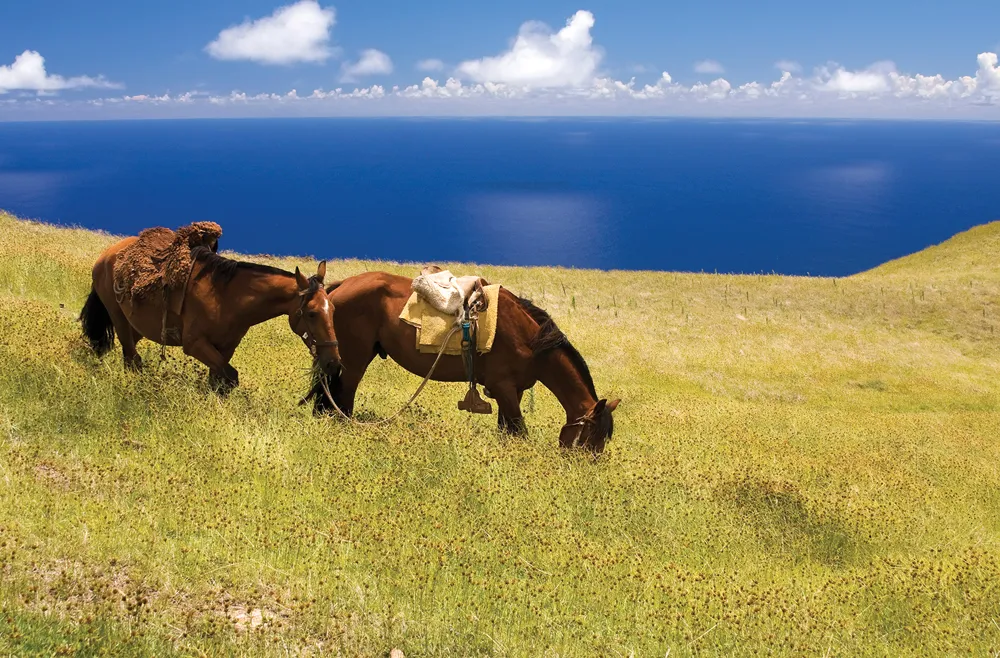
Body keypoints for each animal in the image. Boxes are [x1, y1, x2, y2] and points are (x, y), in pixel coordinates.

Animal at [79, 238, 341, 392]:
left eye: (333, 310)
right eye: (311, 313)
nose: (333, 363)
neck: (226, 298)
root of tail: (108, 254)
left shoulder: (225, 348)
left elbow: (218, 380)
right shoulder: (194, 344)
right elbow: (231, 377)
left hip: (137, 326)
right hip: (118, 318)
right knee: (131, 358)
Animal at [304, 272, 620, 452]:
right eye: (591, 438)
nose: (584, 469)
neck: (528, 339)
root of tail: (342, 285)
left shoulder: (512, 391)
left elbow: (506, 431)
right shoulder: (504, 388)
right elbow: (519, 432)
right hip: (354, 361)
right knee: (342, 397)